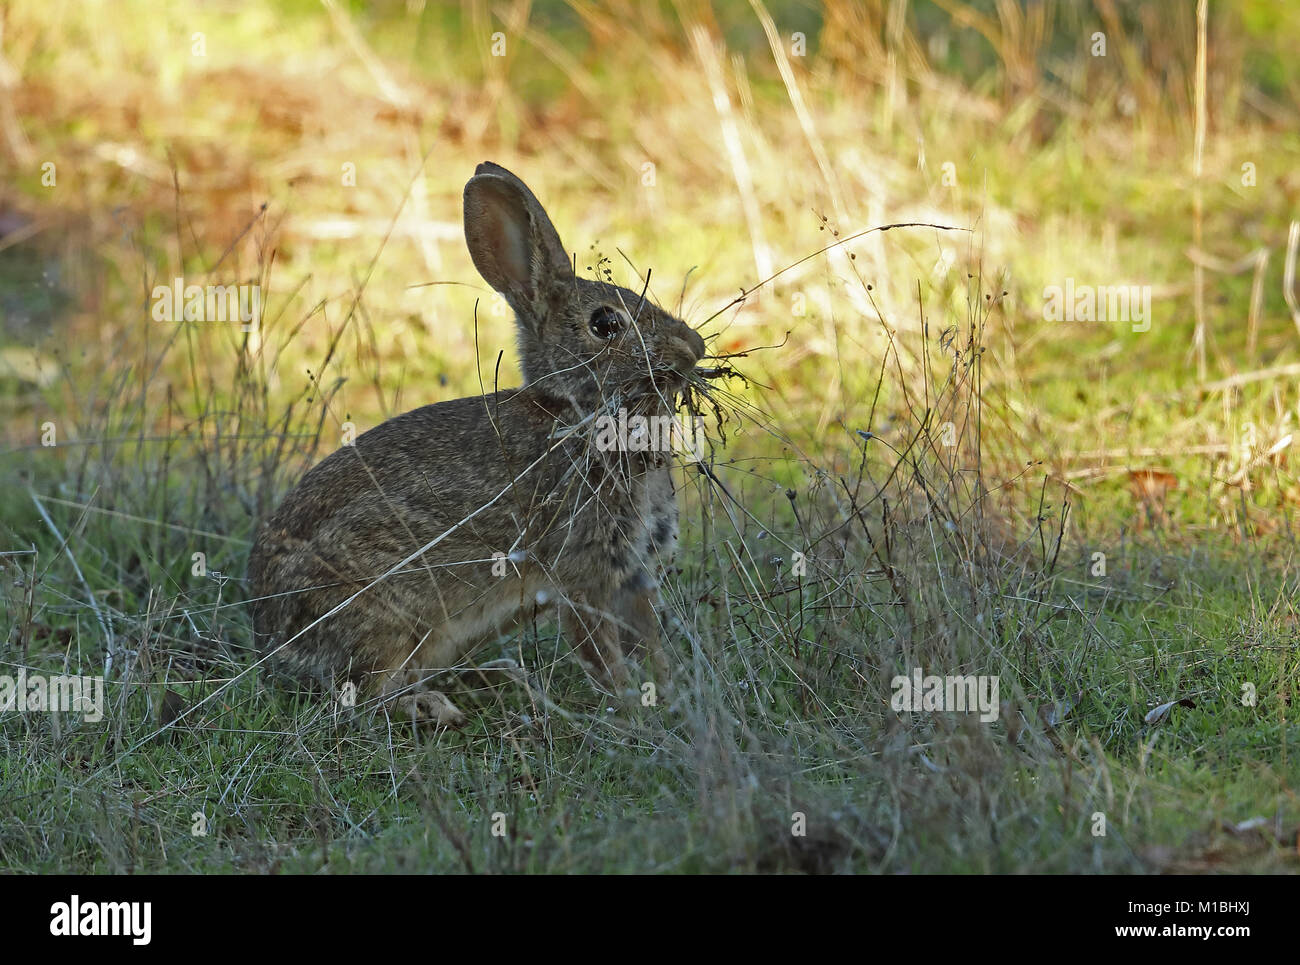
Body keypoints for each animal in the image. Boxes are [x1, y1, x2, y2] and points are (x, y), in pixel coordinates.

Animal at [246, 164, 707, 728]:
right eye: (605, 324)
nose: (693, 348)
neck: (580, 414)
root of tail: (270, 638)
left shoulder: (633, 576)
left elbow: (652, 644)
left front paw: (674, 694)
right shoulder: (585, 571)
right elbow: (603, 652)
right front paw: (632, 711)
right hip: (388, 618)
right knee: (363, 695)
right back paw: (435, 705)